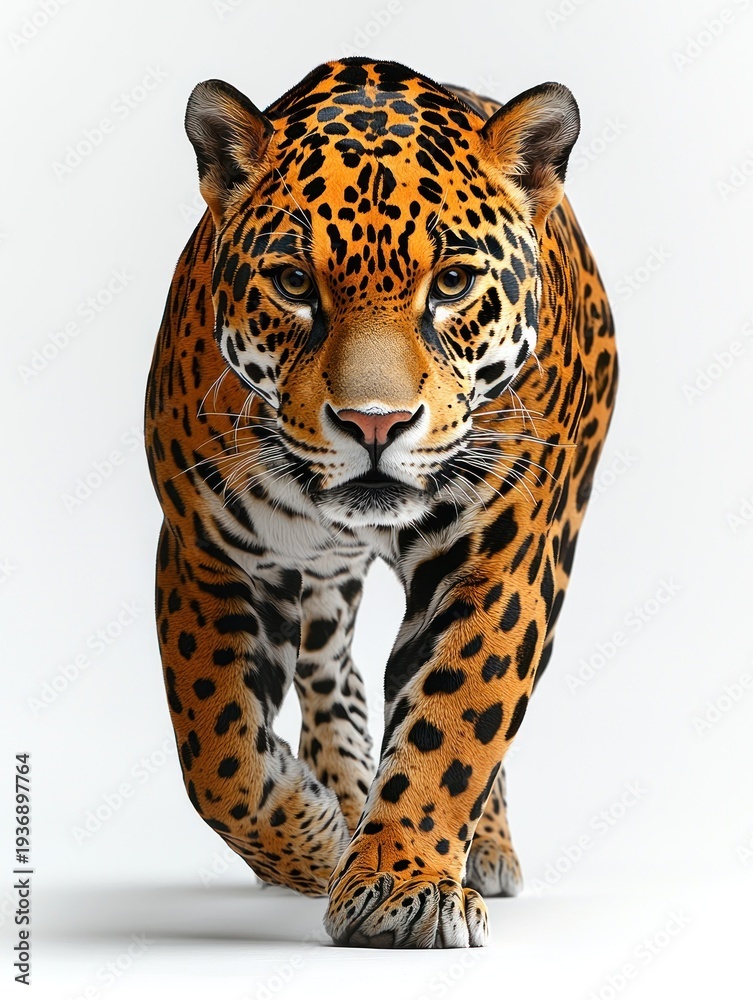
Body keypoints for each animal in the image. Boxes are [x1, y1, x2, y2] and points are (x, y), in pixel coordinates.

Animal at [144, 57, 618, 949]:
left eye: (453, 283)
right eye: (294, 283)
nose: (374, 423)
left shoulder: (501, 558)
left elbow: (458, 714)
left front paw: (403, 885)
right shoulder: (207, 553)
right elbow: (215, 751)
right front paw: (312, 838)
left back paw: (479, 847)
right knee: (327, 668)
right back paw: (340, 792)